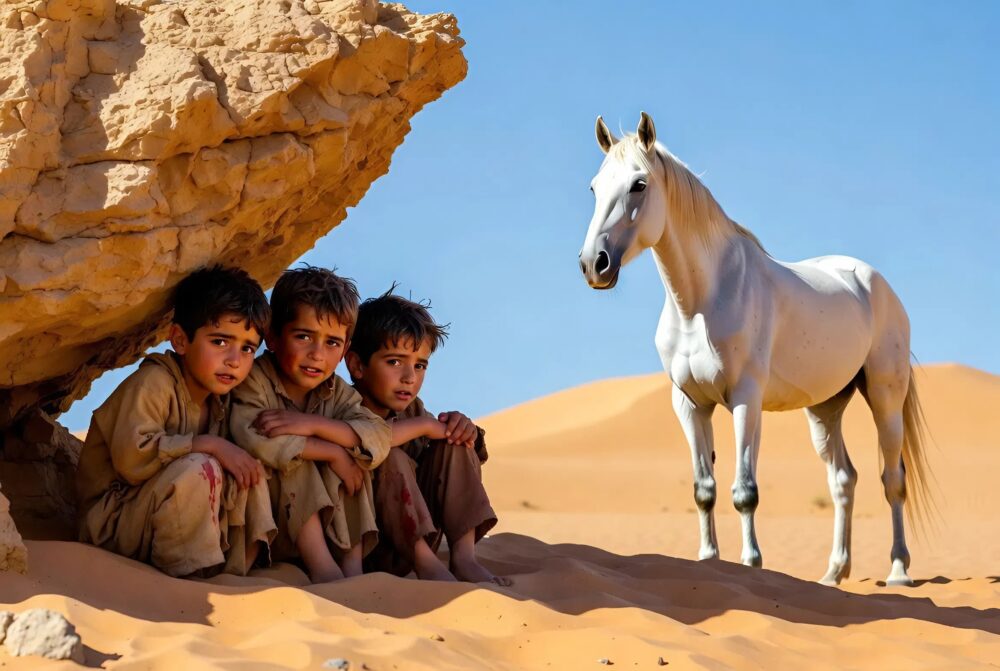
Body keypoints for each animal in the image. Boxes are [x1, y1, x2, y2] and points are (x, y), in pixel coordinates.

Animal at [578, 112, 930, 586]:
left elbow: (745, 491)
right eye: (595, 187)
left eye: (638, 184)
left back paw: (898, 571)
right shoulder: (689, 404)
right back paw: (833, 574)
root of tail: (875, 283)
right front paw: (709, 561)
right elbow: (704, 490)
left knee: (892, 478)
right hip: (825, 408)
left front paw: (751, 564)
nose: (592, 264)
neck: (700, 305)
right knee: (843, 480)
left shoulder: (745, 399)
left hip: (885, 398)